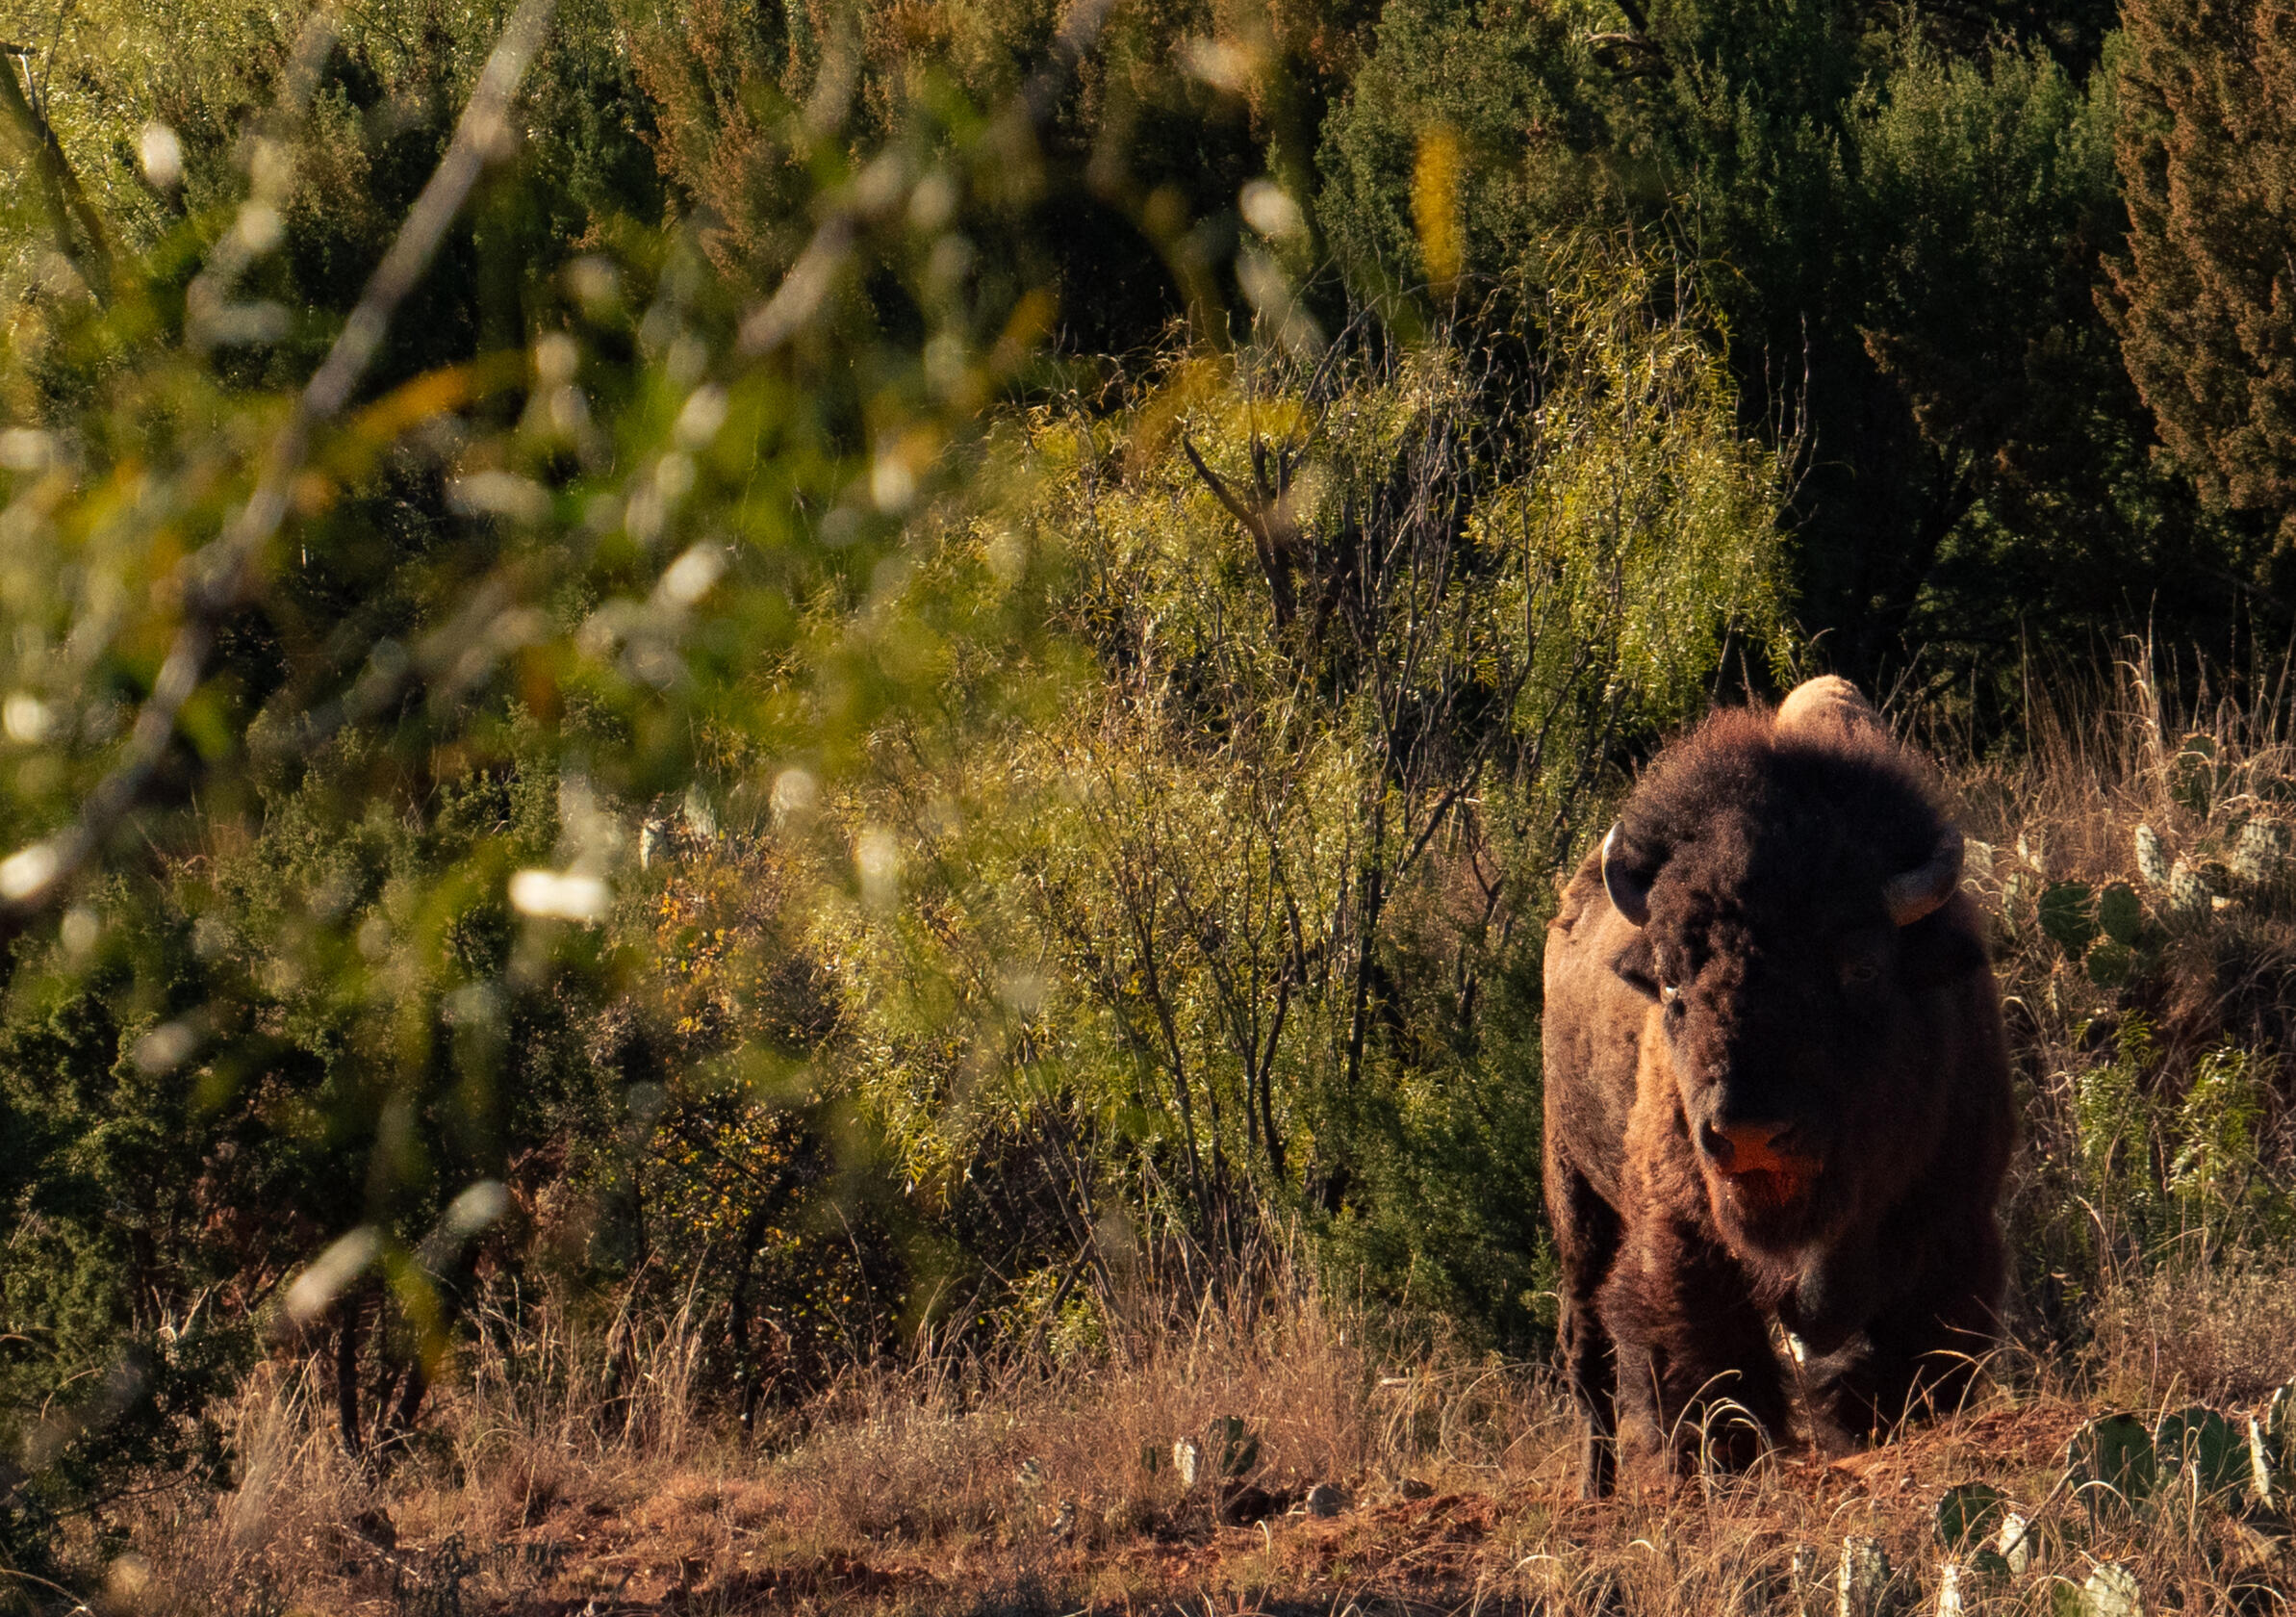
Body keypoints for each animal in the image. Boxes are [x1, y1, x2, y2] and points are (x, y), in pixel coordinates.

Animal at [1541, 677, 2013, 1496]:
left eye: (1861, 968)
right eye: (1672, 983)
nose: (1751, 1133)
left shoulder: (1952, 1229)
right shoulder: (1681, 1239)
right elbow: (1708, 1363)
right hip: (1576, 1197)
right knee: (1586, 1347)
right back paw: (1595, 1487)